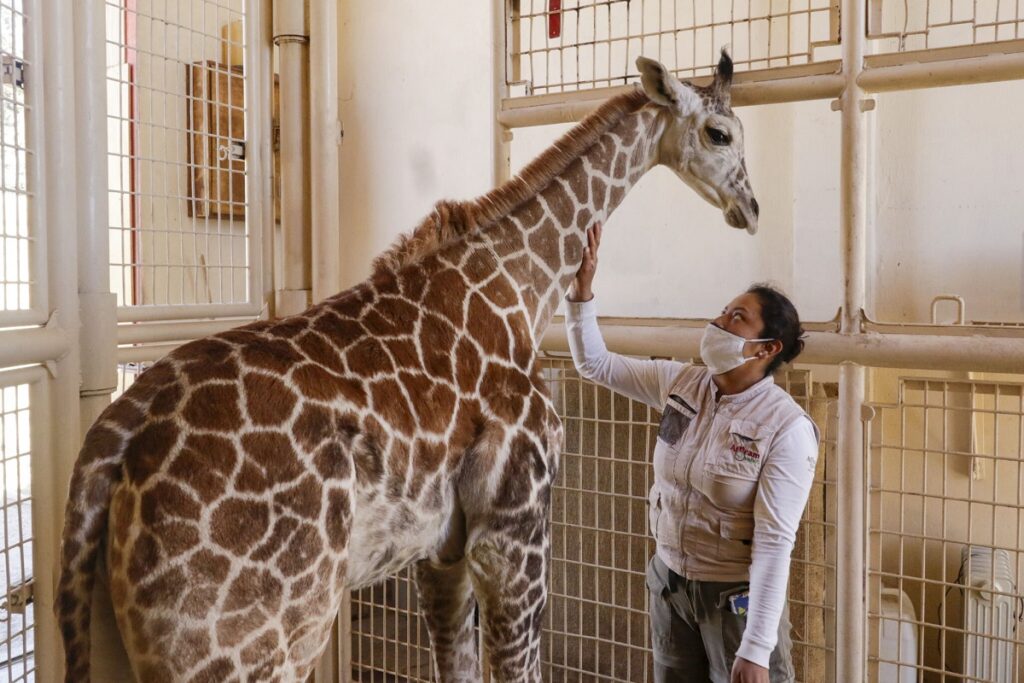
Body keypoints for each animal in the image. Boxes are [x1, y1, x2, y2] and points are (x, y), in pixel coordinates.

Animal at [56, 52, 757, 682]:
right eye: (720, 133)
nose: (750, 210)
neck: (518, 289)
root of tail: (114, 442)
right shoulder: (514, 529)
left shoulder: (439, 550)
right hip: (249, 642)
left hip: (120, 642)